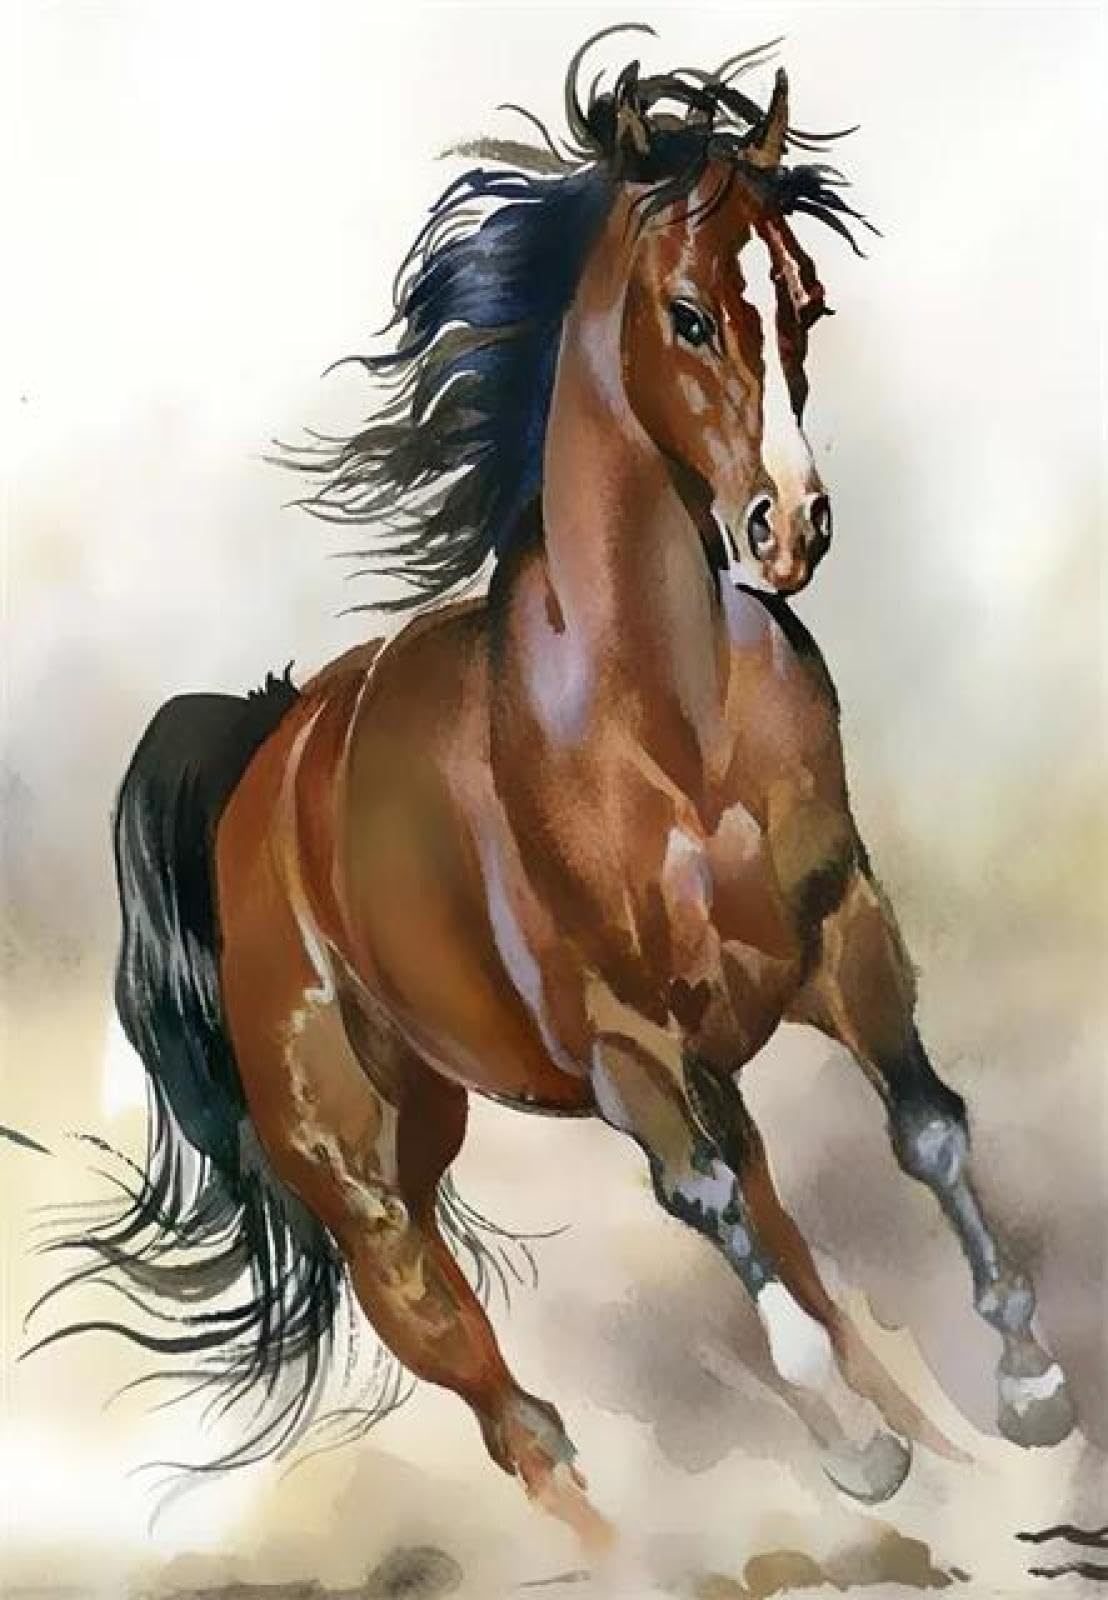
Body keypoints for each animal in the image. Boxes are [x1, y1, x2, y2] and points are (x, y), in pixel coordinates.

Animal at [33, 28, 1074, 1552]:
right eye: (690, 315)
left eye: (804, 303)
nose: (791, 527)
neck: (669, 727)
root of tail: (262, 759)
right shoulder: (621, 1044)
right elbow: (712, 1210)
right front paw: (854, 1447)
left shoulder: (839, 934)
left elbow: (925, 1130)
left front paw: (1029, 1376)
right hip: (372, 1186)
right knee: (502, 1397)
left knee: (777, 1241)